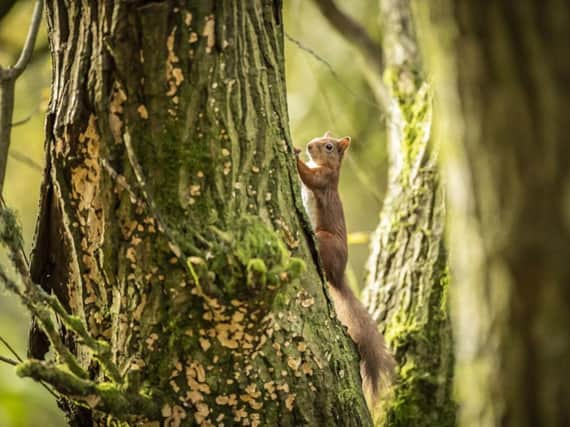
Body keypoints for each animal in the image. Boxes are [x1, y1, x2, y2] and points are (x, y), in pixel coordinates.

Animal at [292, 133, 390, 404]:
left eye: (328, 146)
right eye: (318, 139)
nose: (308, 146)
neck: (329, 167)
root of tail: (338, 276)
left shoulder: (323, 180)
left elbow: (308, 177)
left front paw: (294, 153)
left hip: (325, 240)